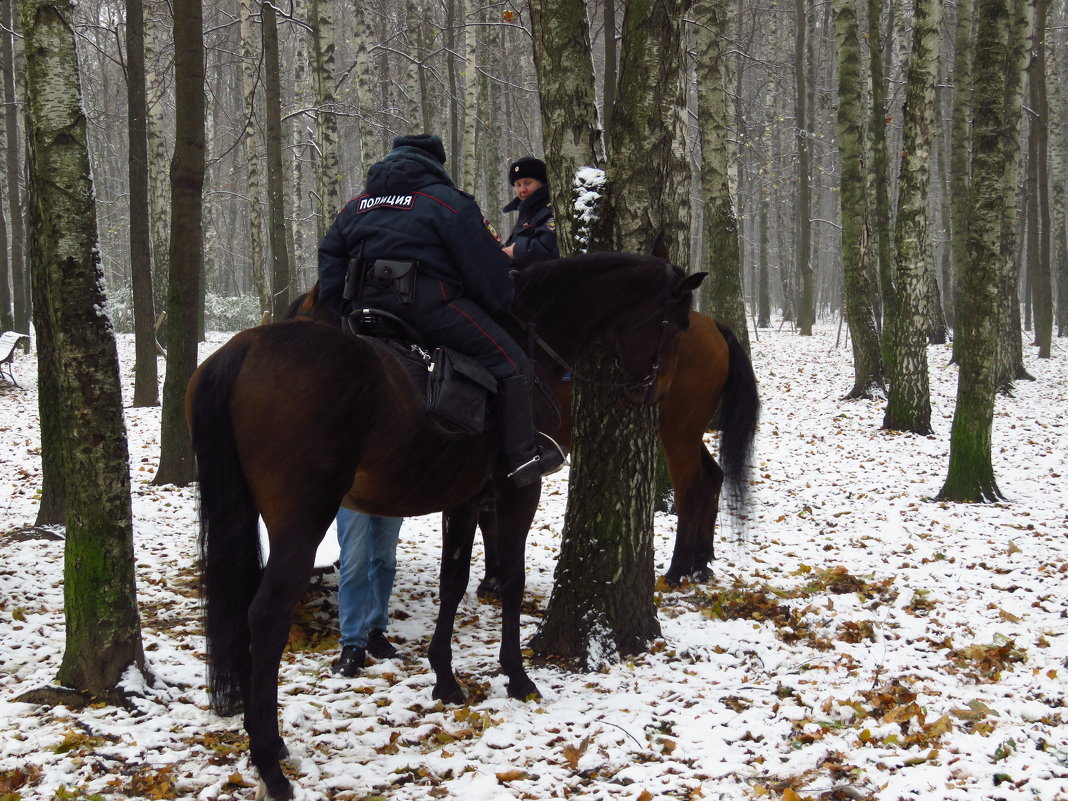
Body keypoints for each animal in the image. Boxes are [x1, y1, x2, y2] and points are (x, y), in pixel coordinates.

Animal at [190, 252, 709, 801]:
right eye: (678, 325)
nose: (655, 394)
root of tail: (244, 349)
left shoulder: (463, 500)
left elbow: (453, 580)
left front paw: (445, 677)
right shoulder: (518, 492)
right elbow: (513, 580)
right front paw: (517, 675)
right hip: (301, 523)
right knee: (266, 616)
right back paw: (270, 762)